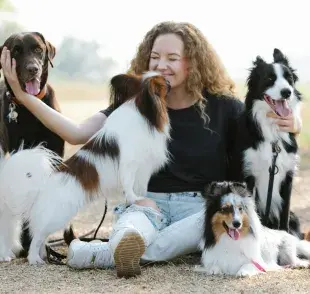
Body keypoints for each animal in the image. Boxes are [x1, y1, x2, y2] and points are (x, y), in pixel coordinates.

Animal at [234, 47, 304, 237]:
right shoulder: (249, 176)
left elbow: (284, 218)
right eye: (269, 79)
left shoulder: (287, 177)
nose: (287, 92)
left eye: (289, 78)